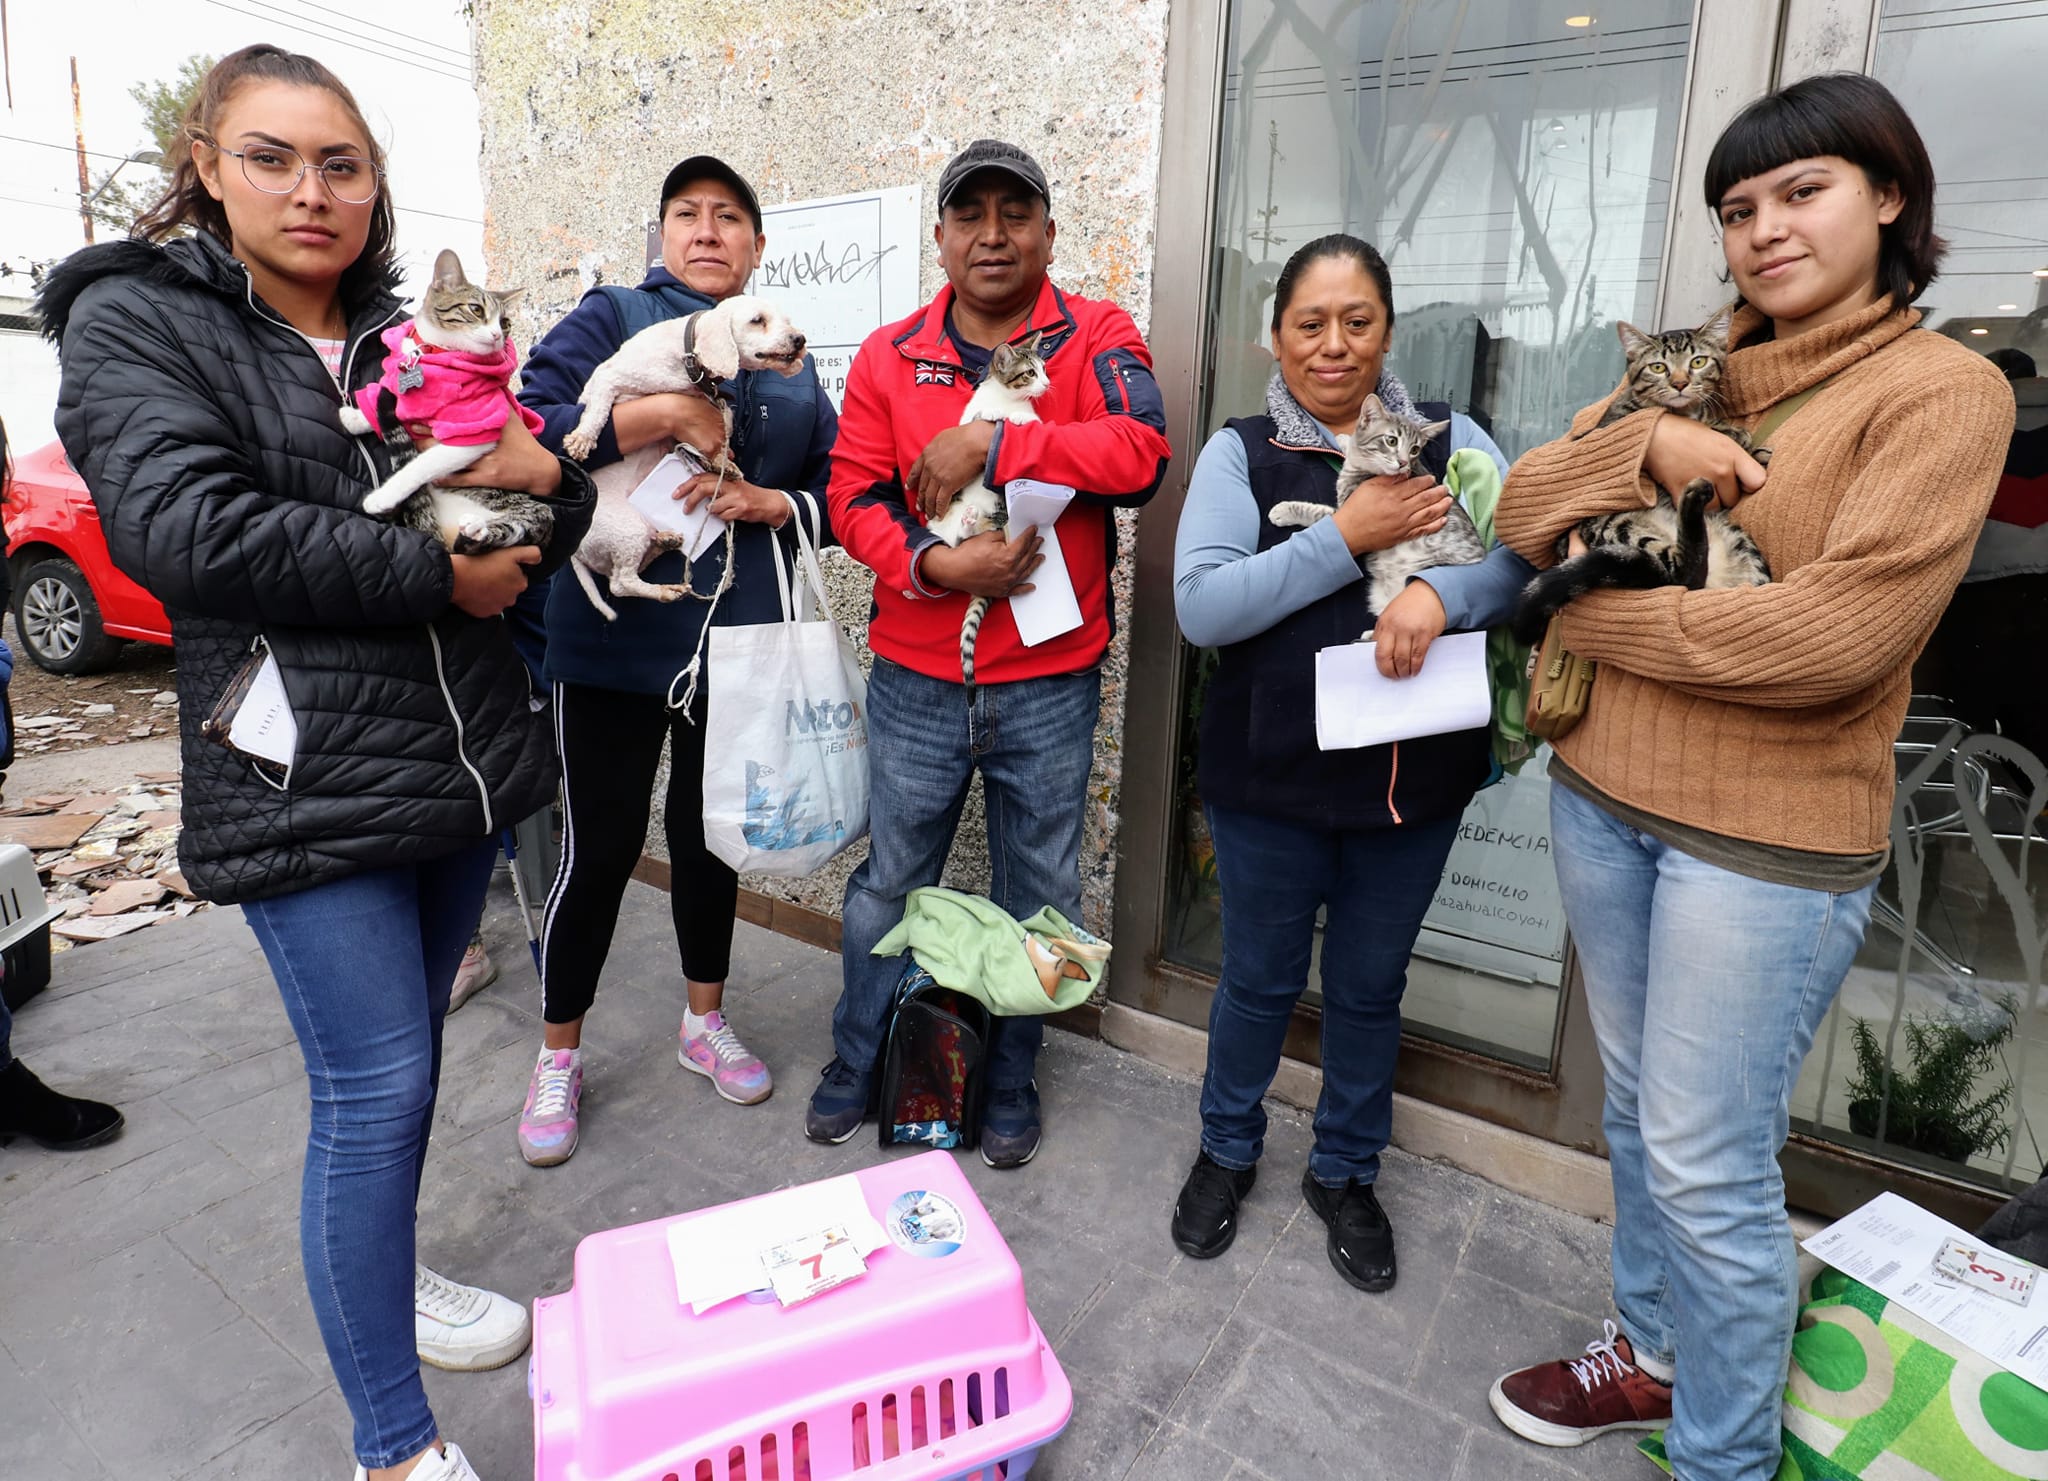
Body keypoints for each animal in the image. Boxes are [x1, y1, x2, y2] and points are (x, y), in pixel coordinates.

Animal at [339, 251, 557, 557]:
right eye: (476, 309)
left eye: (505, 323)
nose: (497, 336)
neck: (435, 354)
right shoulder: (395, 380)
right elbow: (379, 394)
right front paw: (354, 417)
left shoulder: (472, 429)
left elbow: (421, 464)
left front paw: (383, 495)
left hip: (535, 515)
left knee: (507, 532)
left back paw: (476, 530)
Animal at [929, 329, 1056, 696]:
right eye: (1030, 373)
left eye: (1044, 370)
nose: (1047, 383)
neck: (1006, 397)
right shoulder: (972, 415)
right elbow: (983, 416)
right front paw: (1003, 416)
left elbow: (1026, 420)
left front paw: (1021, 419)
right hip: (943, 523)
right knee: (954, 542)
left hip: (994, 517)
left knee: (968, 536)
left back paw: (972, 520)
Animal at [1269, 391, 1482, 618]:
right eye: (1391, 441)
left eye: (1415, 449)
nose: (1403, 463)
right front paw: (1345, 439)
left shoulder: (1347, 506)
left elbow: (1317, 511)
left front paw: (1283, 511)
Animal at [1507, 305, 1777, 643]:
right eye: (1658, 367)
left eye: (1698, 362)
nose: (1679, 384)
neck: (1685, 412)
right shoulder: (1609, 427)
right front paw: (1733, 434)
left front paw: (1747, 446)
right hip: (1616, 522)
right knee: (1680, 573)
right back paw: (1694, 499)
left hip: (1740, 543)